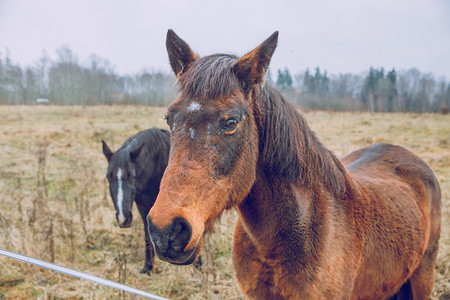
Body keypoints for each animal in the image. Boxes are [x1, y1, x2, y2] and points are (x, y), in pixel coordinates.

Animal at [102, 127, 171, 274]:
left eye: (132, 176)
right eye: (109, 176)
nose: (123, 218)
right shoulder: (143, 207)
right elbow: (147, 235)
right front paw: (148, 267)